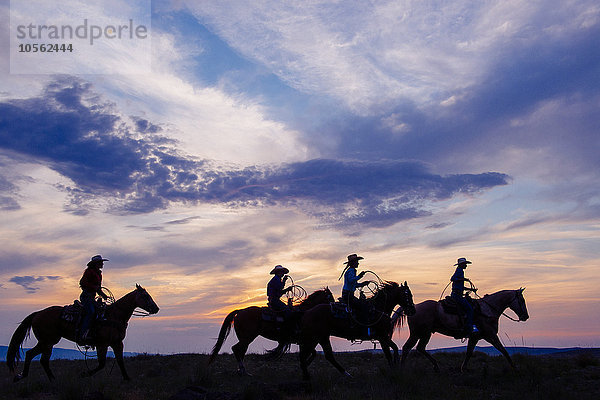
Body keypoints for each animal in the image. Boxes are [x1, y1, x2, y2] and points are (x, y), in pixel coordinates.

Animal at [7, 284, 157, 382]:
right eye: (145, 296)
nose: (156, 308)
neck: (113, 315)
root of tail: (37, 313)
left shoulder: (117, 343)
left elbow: (120, 361)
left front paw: (127, 378)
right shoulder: (102, 344)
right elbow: (102, 364)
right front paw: (84, 374)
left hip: (47, 342)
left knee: (34, 356)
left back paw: (26, 377)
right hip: (47, 341)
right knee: (39, 358)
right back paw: (48, 379)